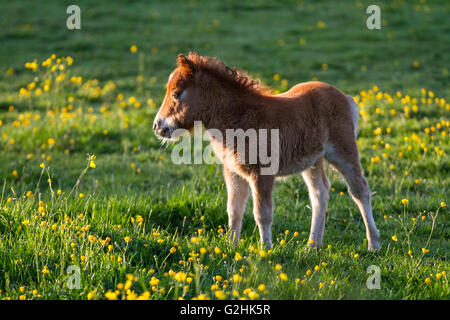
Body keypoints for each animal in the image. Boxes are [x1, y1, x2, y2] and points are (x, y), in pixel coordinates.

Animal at [154, 52, 380, 251]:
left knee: (360, 190)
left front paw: (266, 251)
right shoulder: (233, 172)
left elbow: (262, 214)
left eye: (176, 93)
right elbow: (233, 210)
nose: (158, 126)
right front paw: (230, 248)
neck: (240, 118)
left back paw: (373, 244)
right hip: (313, 161)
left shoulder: (261, 173)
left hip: (343, 151)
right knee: (320, 193)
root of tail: (345, 97)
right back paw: (312, 246)